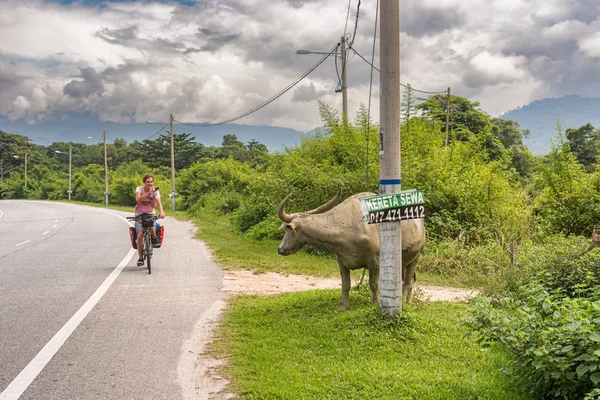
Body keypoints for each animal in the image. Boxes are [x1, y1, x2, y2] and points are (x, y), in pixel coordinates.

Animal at [278, 190, 426, 310]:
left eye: (287, 229)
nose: (280, 249)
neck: (350, 223)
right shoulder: (341, 260)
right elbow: (345, 284)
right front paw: (342, 306)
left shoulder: (375, 261)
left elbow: (374, 284)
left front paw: (376, 303)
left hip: (417, 256)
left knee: (407, 282)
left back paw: (405, 302)